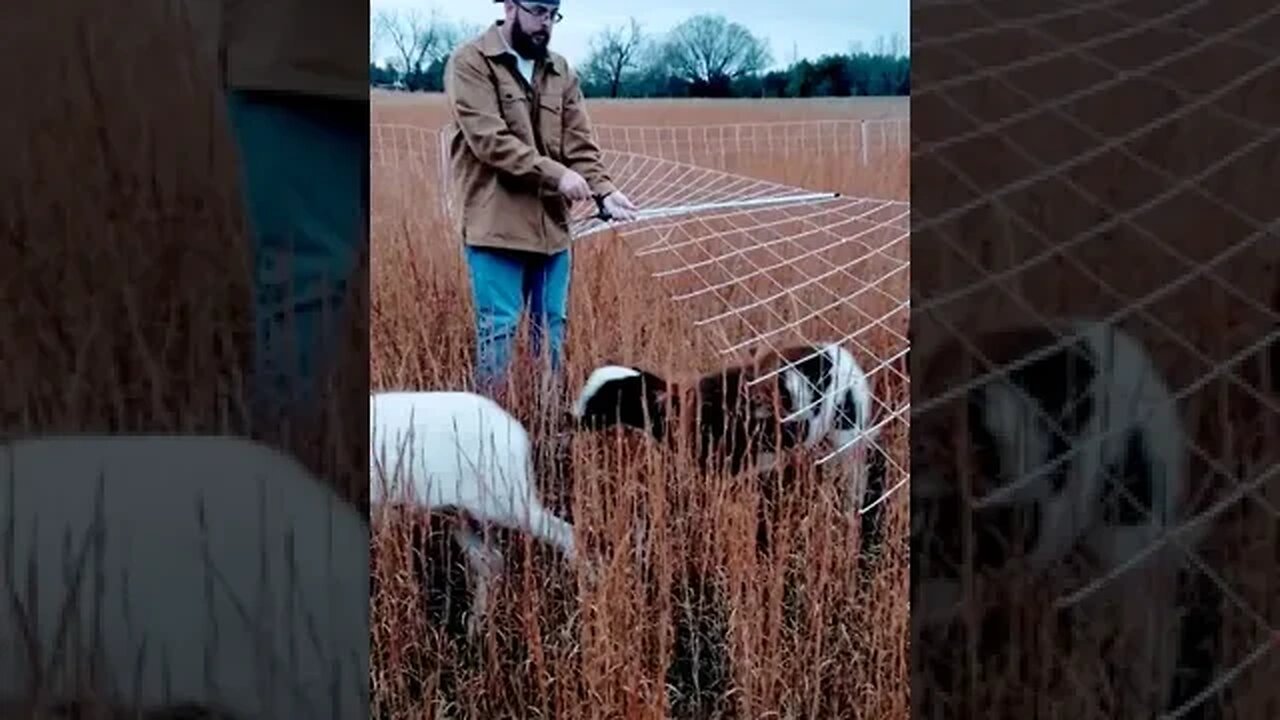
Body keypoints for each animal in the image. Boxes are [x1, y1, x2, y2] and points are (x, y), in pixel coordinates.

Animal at [371, 392, 586, 632]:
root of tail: (518, 433)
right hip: (461, 515)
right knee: (491, 561)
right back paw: (475, 628)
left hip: (508, 503)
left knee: (567, 535)